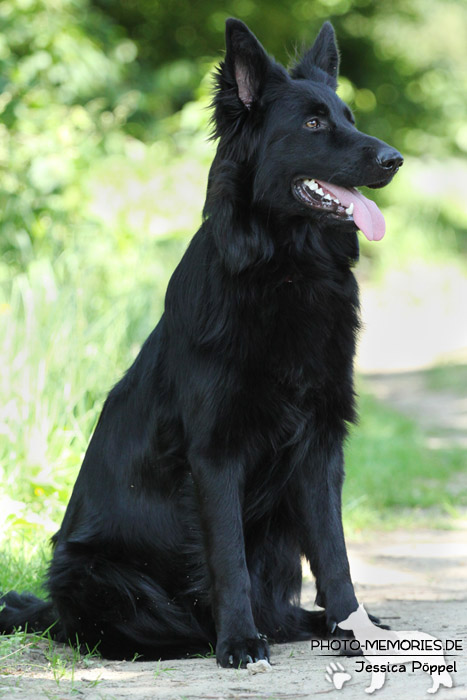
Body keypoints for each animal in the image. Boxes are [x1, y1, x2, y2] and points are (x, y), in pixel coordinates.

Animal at [0, 19, 402, 668]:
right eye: (314, 124)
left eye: (346, 114)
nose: (394, 159)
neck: (286, 272)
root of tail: (52, 609)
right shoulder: (215, 453)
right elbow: (227, 560)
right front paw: (238, 641)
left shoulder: (320, 445)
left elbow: (335, 552)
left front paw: (353, 628)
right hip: (96, 576)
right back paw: (210, 633)